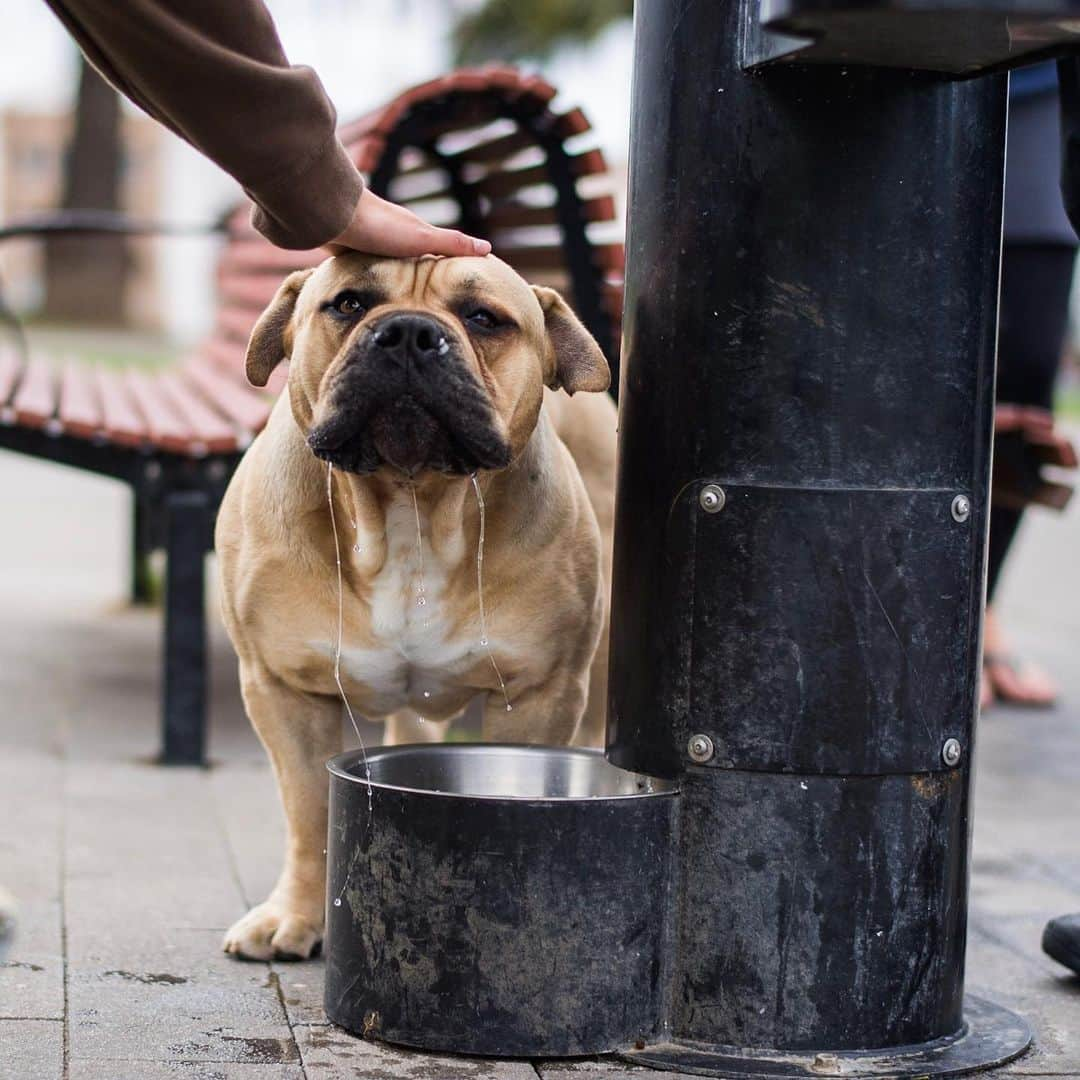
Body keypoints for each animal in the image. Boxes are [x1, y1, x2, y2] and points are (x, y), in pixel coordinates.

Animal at [214, 254, 617, 963]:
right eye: (348, 303)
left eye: (484, 318)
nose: (407, 332)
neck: (411, 506)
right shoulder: (282, 690)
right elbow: (308, 810)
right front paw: (297, 913)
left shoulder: (541, 692)